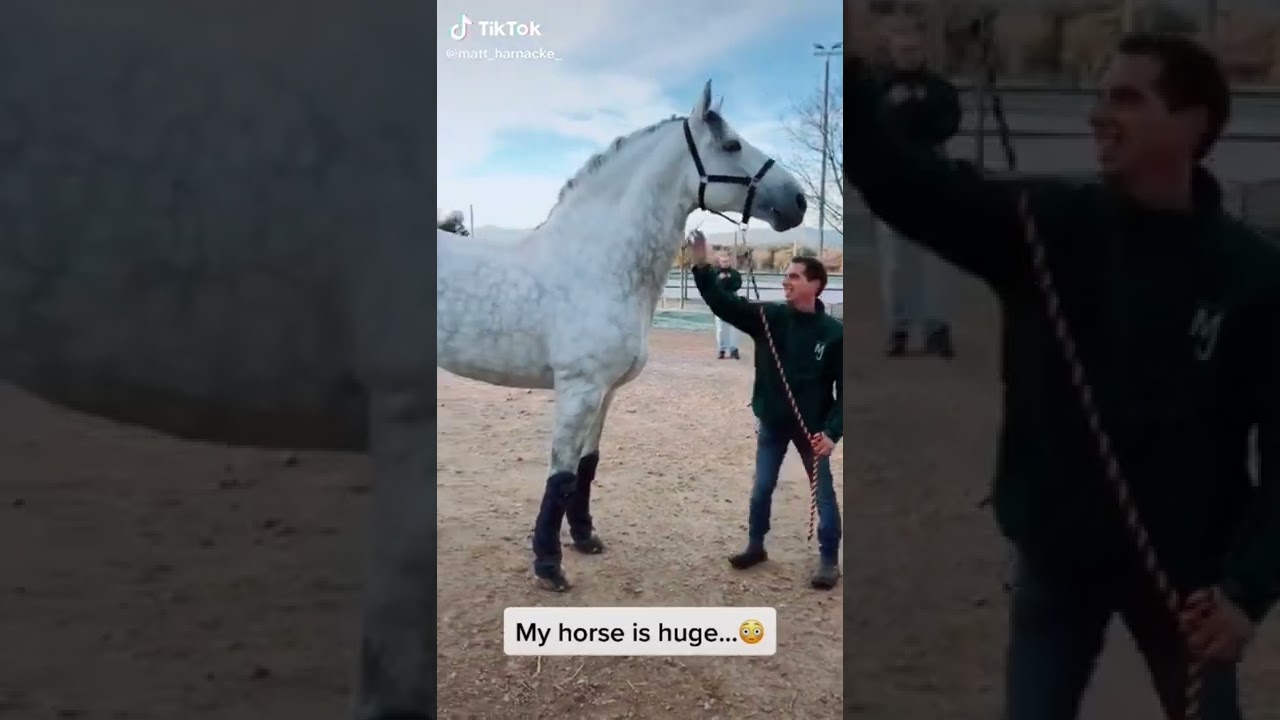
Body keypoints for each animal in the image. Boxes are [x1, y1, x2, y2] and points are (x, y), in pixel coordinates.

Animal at [436, 80, 807, 591]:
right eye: (732, 145)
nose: (799, 200)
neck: (599, 264)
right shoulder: (579, 390)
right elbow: (559, 473)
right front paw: (549, 566)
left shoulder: (604, 393)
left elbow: (585, 468)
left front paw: (584, 538)